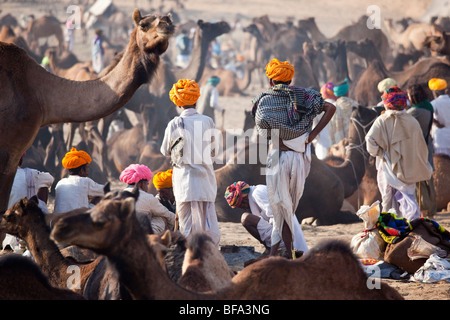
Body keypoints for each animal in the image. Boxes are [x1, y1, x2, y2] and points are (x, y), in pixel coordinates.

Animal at [0, 8, 175, 211]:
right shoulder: (8, 151)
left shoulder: (13, 154)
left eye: (169, 19)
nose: (166, 24)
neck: (40, 94)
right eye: (143, 25)